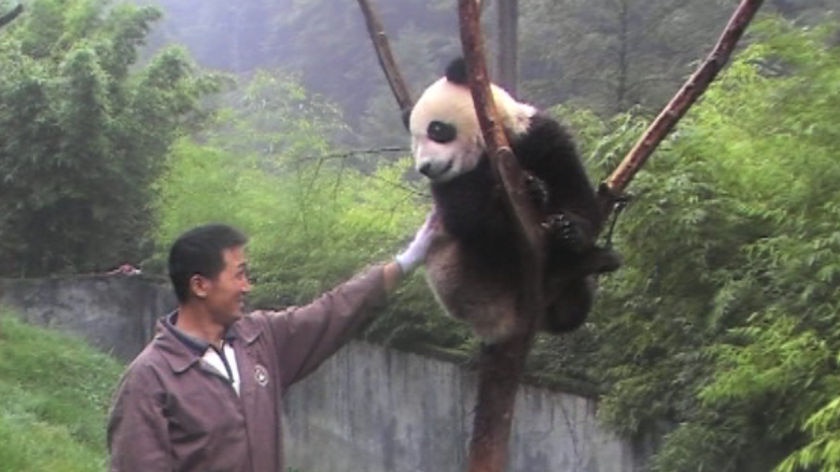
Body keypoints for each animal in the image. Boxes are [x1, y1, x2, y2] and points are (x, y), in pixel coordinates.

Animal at [406, 58, 616, 342]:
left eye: (436, 129)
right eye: (414, 143)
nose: (425, 167)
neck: (487, 149)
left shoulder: (535, 135)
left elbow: (571, 185)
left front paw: (568, 228)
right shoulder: (451, 184)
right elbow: (469, 219)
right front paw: (528, 192)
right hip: (463, 274)